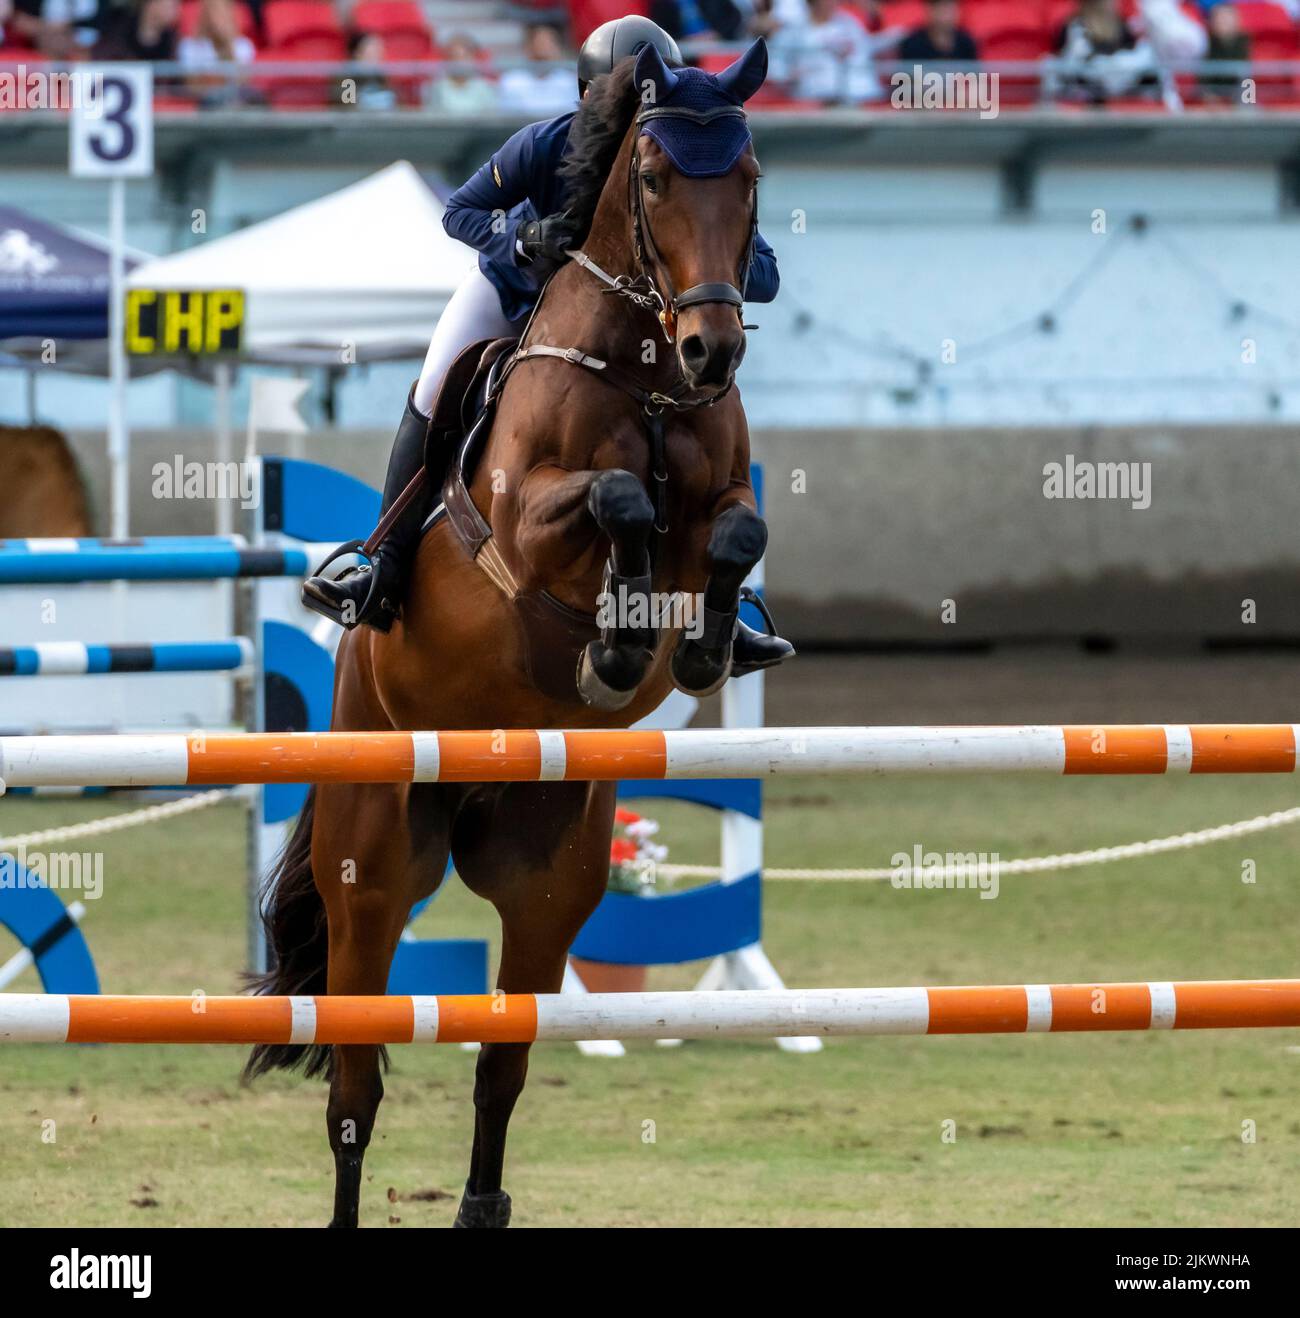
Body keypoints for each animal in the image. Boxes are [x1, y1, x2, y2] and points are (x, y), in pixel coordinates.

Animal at [250, 43, 780, 1233]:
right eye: (654, 181)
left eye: (751, 179)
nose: (713, 348)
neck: (645, 373)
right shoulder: (526, 527)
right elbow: (619, 498)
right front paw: (618, 644)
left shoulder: (717, 497)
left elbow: (737, 526)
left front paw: (702, 644)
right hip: (373, 866)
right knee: (353, 1086)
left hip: (551, 875)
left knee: (503, 1061)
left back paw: (482, 1204)